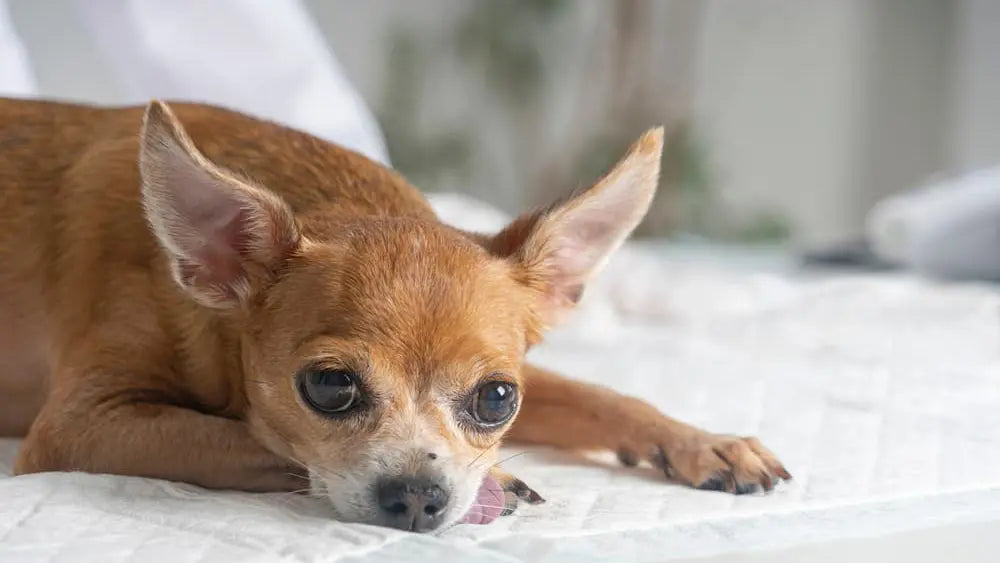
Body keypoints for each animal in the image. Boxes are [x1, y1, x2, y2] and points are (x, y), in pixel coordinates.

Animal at [0, 98, 788, 532]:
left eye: (497, 398)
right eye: (328, 386)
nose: (417, 496)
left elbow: (599, 396)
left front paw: (702, 440)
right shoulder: (81, 424)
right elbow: (253, 439)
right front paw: (501, 484)